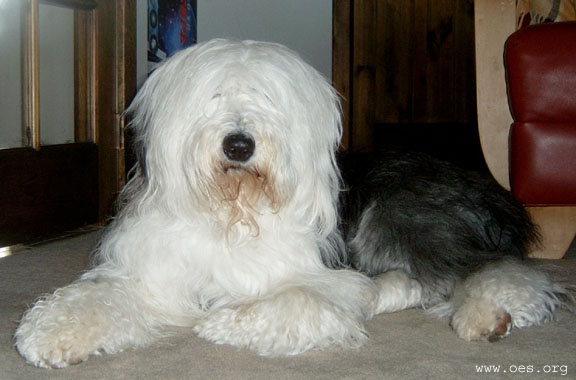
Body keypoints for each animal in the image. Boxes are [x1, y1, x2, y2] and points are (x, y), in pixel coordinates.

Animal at [14, 39, 378, 368]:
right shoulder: (153, 273)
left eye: (267, 98)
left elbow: (299, 298)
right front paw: (52, 332)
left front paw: (222, 322)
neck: (230, 214)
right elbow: (100, 295)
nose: (239, 146)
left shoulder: (332, 281)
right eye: (214, 96)